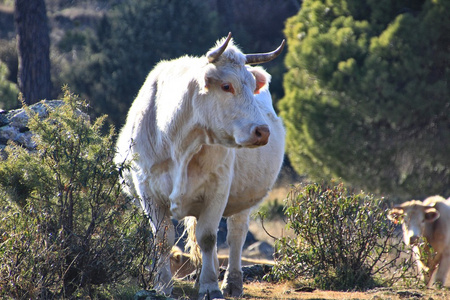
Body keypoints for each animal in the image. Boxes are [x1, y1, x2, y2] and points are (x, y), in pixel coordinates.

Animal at [116, 32, 284, 298]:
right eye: (226, 86)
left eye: (250, 85)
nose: (262, 131)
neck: (180, 143)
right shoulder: (148, 191)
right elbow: (163, 239)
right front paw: (162, 285)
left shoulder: (218, 189)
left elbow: (208, 238)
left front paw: (210, 286)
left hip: (242, 198)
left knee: (236, 235)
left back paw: (232, 282)